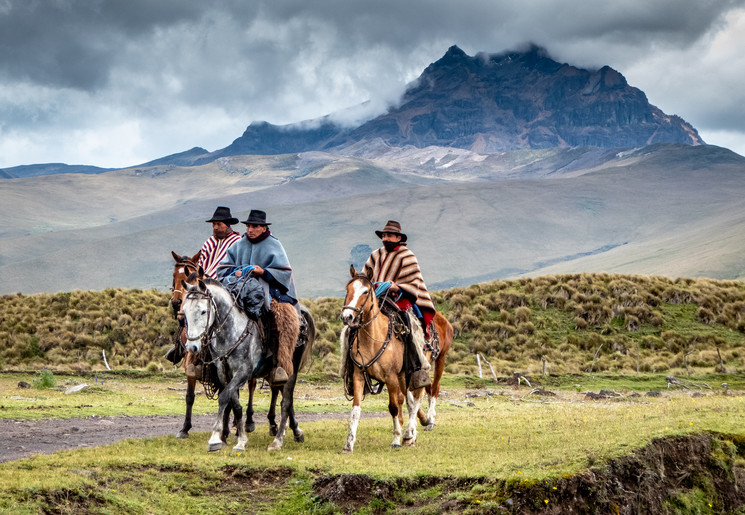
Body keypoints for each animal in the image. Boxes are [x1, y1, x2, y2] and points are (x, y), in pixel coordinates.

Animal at [182, 278, 312, 452]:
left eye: (203, 311)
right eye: (185, 311)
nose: (192, 347)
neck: (231, 334)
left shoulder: (244, 371)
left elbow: (223, 398)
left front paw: (215, 438)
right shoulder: (224, 373)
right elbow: (235, 404)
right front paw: (240, 440)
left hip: (291, 368)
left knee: (286, 402)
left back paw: (277, 441)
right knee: (287, 400)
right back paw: (295, 432)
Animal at [340, 266, 428, 452]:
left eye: (365, 291)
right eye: (347, 289)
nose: (347, 316)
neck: (373, 340)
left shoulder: (391, 378)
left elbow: (393, 407)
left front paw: (396, 440)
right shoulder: (358, 376)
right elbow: (355, 410)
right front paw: (349, 443)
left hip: (409, 373)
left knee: (415, 398)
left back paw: (409, 433)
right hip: (401, 377)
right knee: (409, 401)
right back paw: (410, 435)